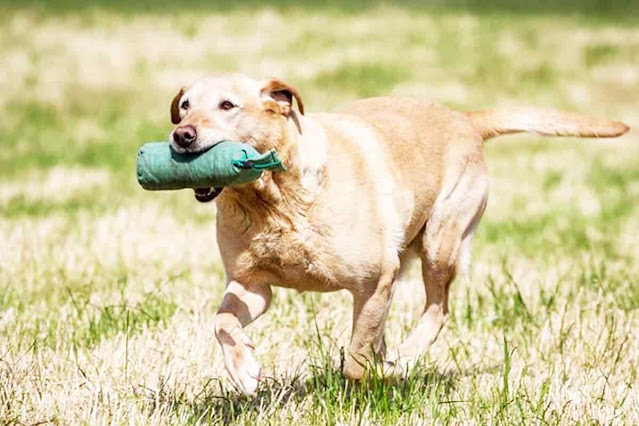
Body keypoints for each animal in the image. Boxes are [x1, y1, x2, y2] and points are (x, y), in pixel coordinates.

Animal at [169, 74, 632, 396]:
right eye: (185, 106)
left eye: (228, 105)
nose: (180, 135)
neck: (273, 199)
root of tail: (464, 120)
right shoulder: (252, 285)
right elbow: (223, 322)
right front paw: (245, 371)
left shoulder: (374, 280)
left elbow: (355, 358)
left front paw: (361, 391)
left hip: (440, 243)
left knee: (437, 310)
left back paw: (404, 362)